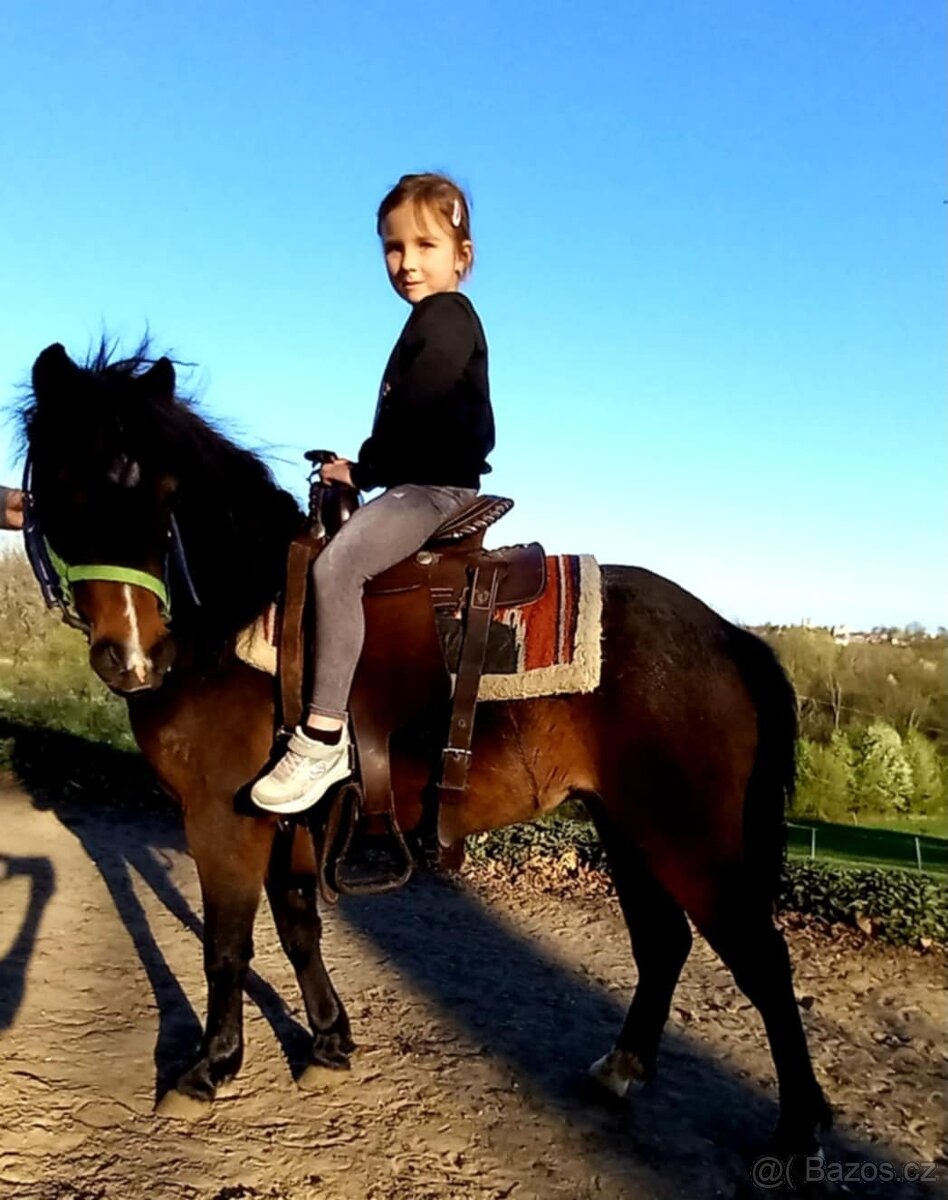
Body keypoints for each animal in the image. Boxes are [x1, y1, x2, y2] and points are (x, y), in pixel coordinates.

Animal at [16, 339, 832, 1152]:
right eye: (61, 489)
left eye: (162, 496)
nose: (132, 656)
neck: (234, 619)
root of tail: (730, 634)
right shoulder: (289, 823)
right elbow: (299, 922)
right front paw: (329, 1043)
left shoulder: (222, 816)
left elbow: (227, 944)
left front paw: (209, 1068)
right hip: (627, 826)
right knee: (663, 942)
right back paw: (621, 1069)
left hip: (688, 837)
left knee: (763, 961)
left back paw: (797, 1127)